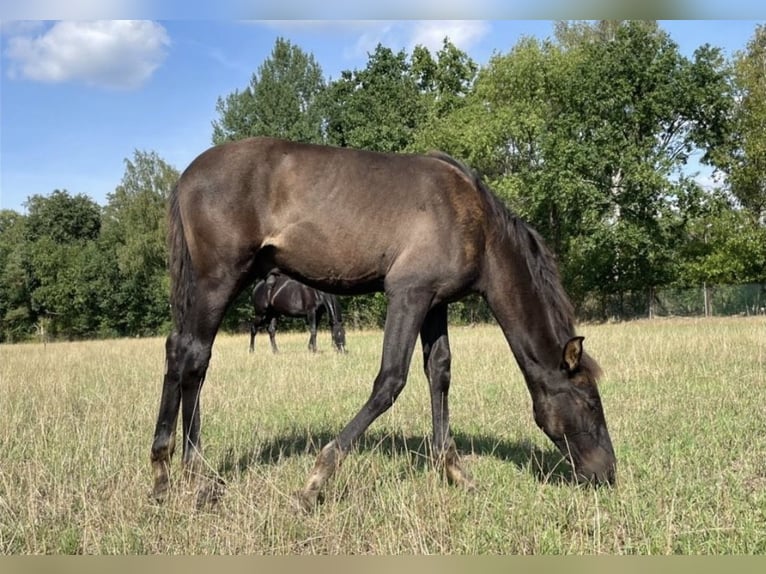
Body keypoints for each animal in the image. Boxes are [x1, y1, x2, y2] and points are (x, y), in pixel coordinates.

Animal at [150, 137, 616, 512]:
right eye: (590, 403)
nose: (607, 473)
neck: (476, 223)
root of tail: (187, 176)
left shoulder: (434, 303)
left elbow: (439, 373)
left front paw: (455, 471)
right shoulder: (408, 295)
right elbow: (390, 381)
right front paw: (315, 482)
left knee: (179, 351)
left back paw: (166, 475)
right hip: (218, 279)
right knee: (194, 356)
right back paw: (190, 475)